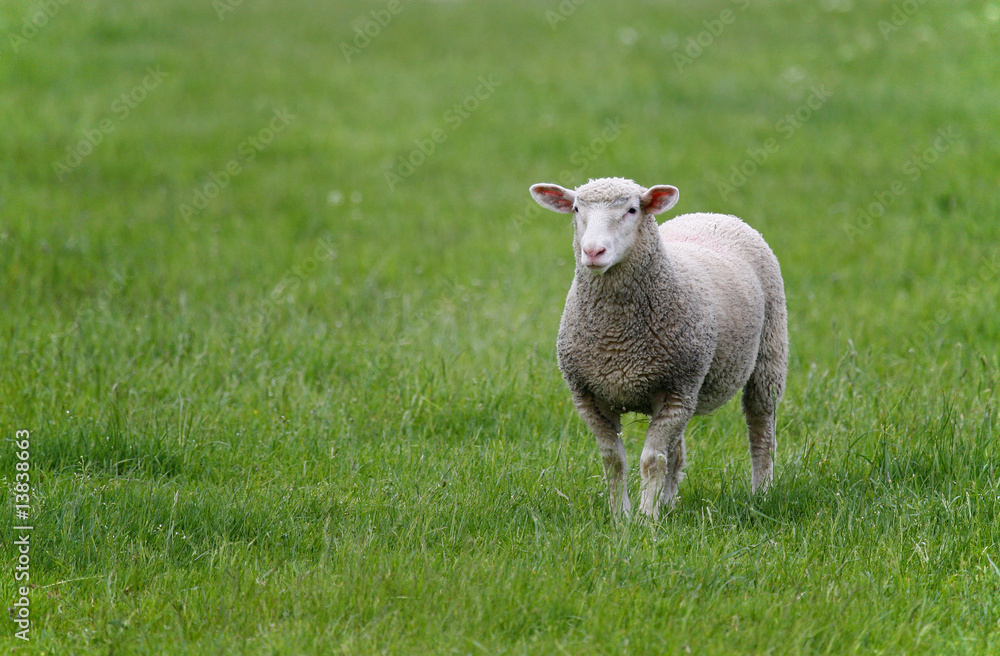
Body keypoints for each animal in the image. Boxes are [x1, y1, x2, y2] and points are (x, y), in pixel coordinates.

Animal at [528, 177, 784, 520]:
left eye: (632, 210)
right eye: (577, 209)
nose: (593, 251)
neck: (616, 341)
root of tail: (714, 215)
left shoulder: (677, 390)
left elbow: (651, 460)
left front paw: (645, 519)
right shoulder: (590, 396)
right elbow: (613, 461)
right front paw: (620, 517)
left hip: (768, 354)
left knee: (760, 427)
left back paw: (762, 492)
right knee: (676, 452)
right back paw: (668, 502)